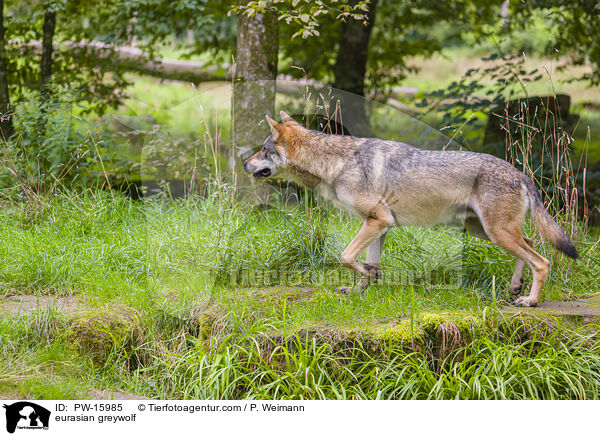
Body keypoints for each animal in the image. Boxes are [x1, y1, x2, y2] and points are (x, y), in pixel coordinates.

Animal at [243, 110, 576, 306]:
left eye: (263, 150)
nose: (245, 163)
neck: (334, 163)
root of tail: (519, 172)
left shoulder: (377, 220)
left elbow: (346, 256)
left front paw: (368, 276)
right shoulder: (378, 225)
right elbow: (365, 262)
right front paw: (362, 288)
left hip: (496, 233)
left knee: (542, 261)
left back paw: (530, 301)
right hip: (484, 231)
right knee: (531, 243)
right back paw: (515, 288)